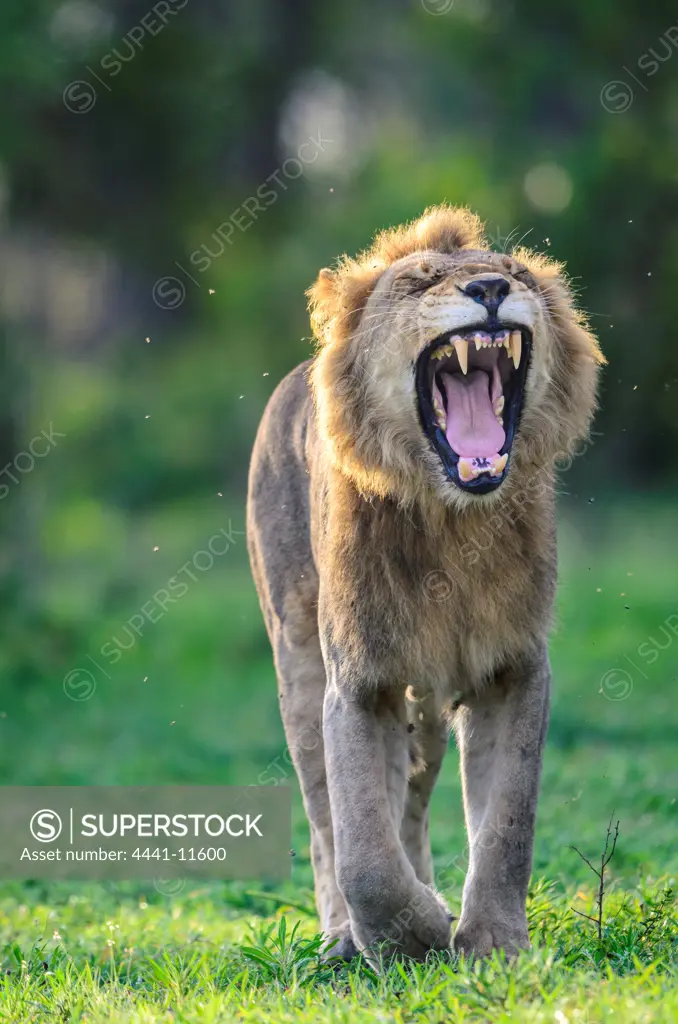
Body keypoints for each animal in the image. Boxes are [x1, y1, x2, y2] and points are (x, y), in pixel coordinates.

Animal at [245, 205, 606, 958]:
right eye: (418, 281)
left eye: (518, 272)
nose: (492, 289)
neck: (452, 524)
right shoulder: (358, 682)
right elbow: (363, 848)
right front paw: (409, 936)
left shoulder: (514, 669)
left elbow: (507, 827)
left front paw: (492, 942)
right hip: (298, 665)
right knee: (325, 820)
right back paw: (342, 936)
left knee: (408, 804)